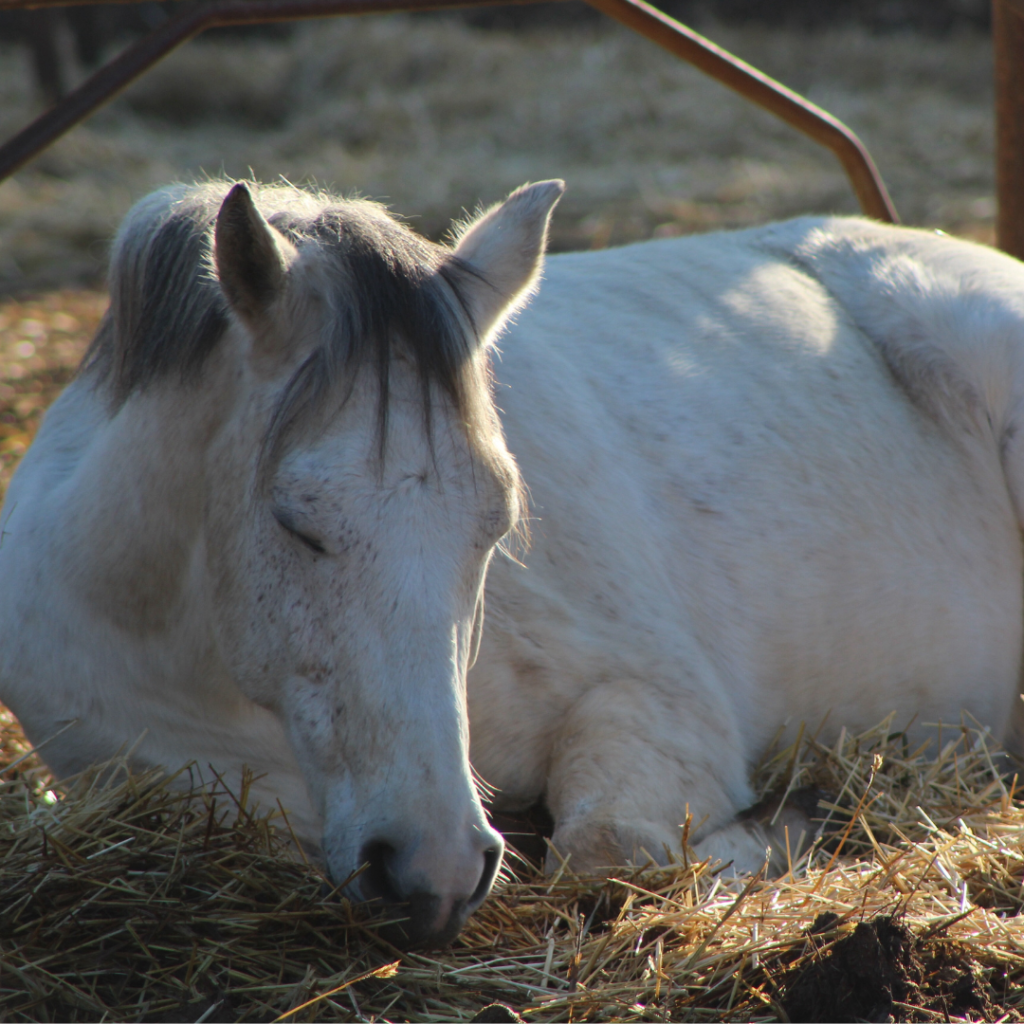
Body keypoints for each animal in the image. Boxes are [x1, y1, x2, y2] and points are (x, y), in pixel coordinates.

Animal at [4, 178, 1024, 945]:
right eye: (295, 524)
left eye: (494, 528)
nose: (437, 868)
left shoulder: (656, 702)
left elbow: (610, 852)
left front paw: (794, 819)